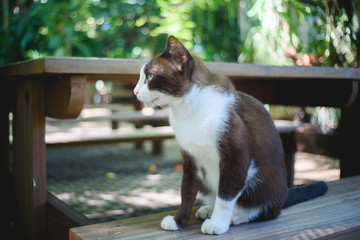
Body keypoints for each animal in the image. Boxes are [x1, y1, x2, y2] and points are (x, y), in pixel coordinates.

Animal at [134, 35, 328, 234]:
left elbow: (226, 194)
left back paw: (238, 216)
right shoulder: (190, 158)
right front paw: (178, 220)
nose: (135, 91)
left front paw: (218, 223)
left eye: (150, 76)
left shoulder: (236, 154)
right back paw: (208, 209)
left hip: (263, 183)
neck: (187, 109)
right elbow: (186, 191)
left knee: (268, 209)